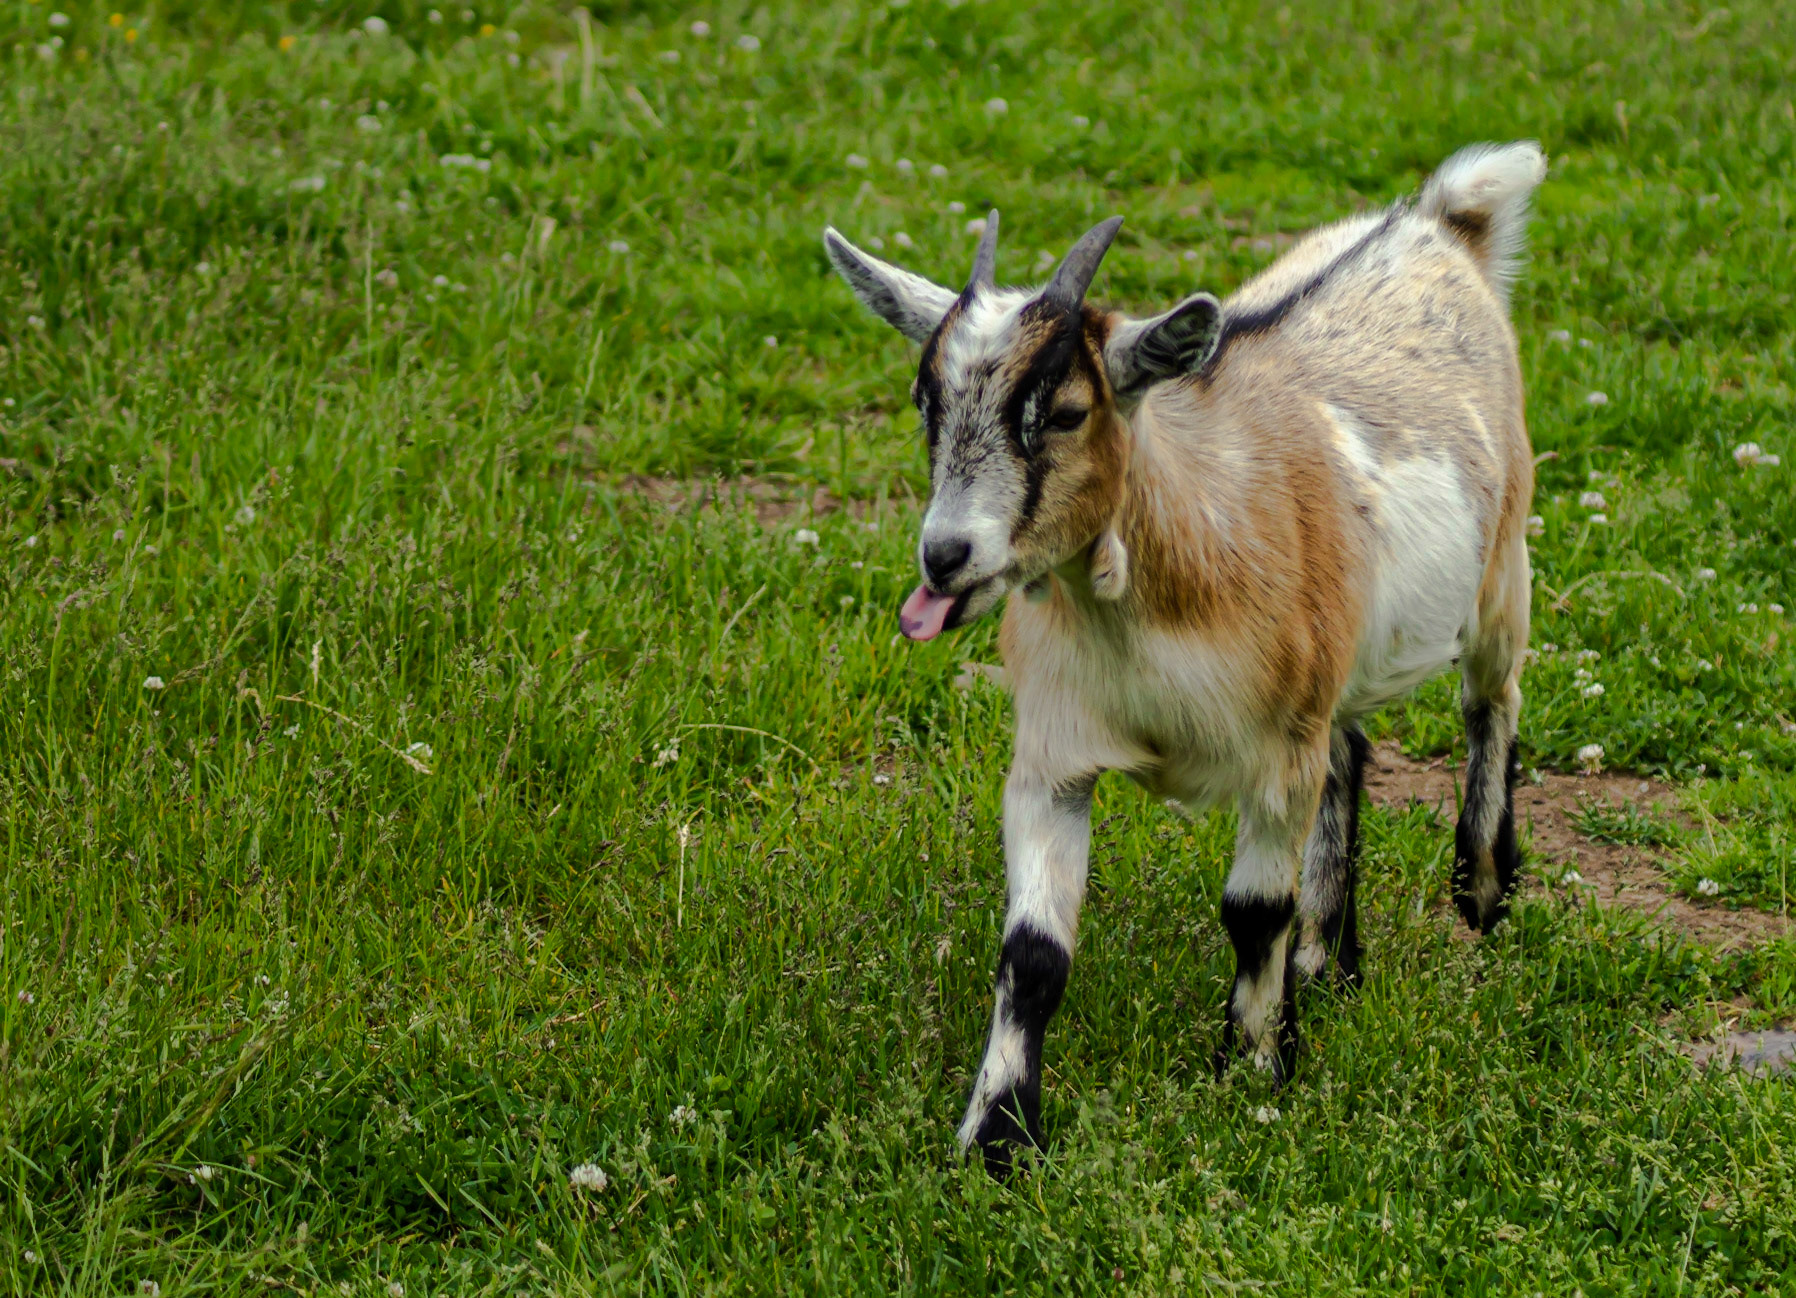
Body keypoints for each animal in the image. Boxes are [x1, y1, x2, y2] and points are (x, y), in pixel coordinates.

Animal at [822, 141, 1544, 1177]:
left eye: (1067, 411)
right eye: (927, 402)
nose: (945, 556)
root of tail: (1440, 223)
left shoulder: (1276, 753)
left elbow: (1253, 910)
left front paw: (1254, 1071)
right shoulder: (1051, 756)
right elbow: (1032, 952)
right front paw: (997, 1137)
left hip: (1503, 561)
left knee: (1492, 701)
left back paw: (1482, 889)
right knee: (1351, 750)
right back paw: (1329, 962)